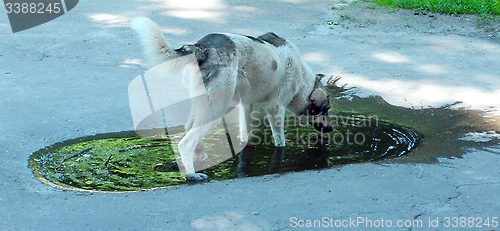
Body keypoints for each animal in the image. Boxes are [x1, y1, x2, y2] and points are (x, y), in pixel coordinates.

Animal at [131, 17, 332, 180]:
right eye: (326, 110)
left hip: (203, 104)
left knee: (189, 129)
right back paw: (192, 175)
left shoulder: (246, 105)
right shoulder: (275, 108)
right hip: (216, 109)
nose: (331, 129)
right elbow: (280, 141)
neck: (303, 80)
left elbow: (246, 135)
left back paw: (201, 155)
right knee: (185, 143)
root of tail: (201, 47)